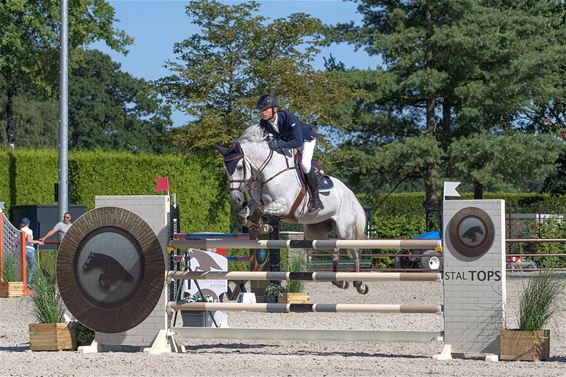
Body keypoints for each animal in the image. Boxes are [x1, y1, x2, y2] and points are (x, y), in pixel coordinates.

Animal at [217, 123, 372, 294]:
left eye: (239, 167)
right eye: (225, 170)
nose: (235, 199)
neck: (268, 172)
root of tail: (351, 194)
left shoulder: (283, 205)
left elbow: (258, 211)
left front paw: (263, 226)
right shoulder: (256, 202)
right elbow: (245, 213)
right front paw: (259, 225)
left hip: (344, 230)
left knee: (354, 252)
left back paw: (359, 284)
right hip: (314, 231)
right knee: (334, 249)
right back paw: (339, 282)